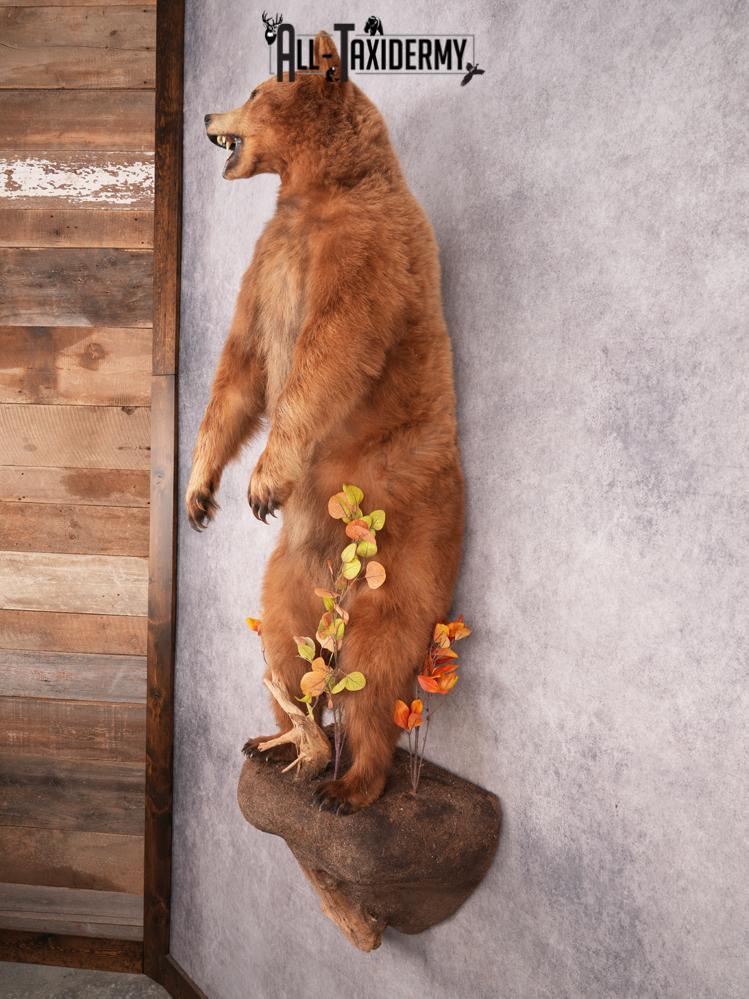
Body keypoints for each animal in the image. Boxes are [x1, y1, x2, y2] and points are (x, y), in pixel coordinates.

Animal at [186, 31, 464, 813]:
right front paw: (200, 491)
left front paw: (262, 480)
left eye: (254, 90)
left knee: (377, 666)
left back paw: (350, 782)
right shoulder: (268, 261)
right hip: (284, 579)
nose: (207, 113)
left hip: (403, 551)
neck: (316, 191)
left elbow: (331, 349)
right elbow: (239, 368)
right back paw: (280, 738)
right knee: (285, 651)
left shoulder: (363, 247)